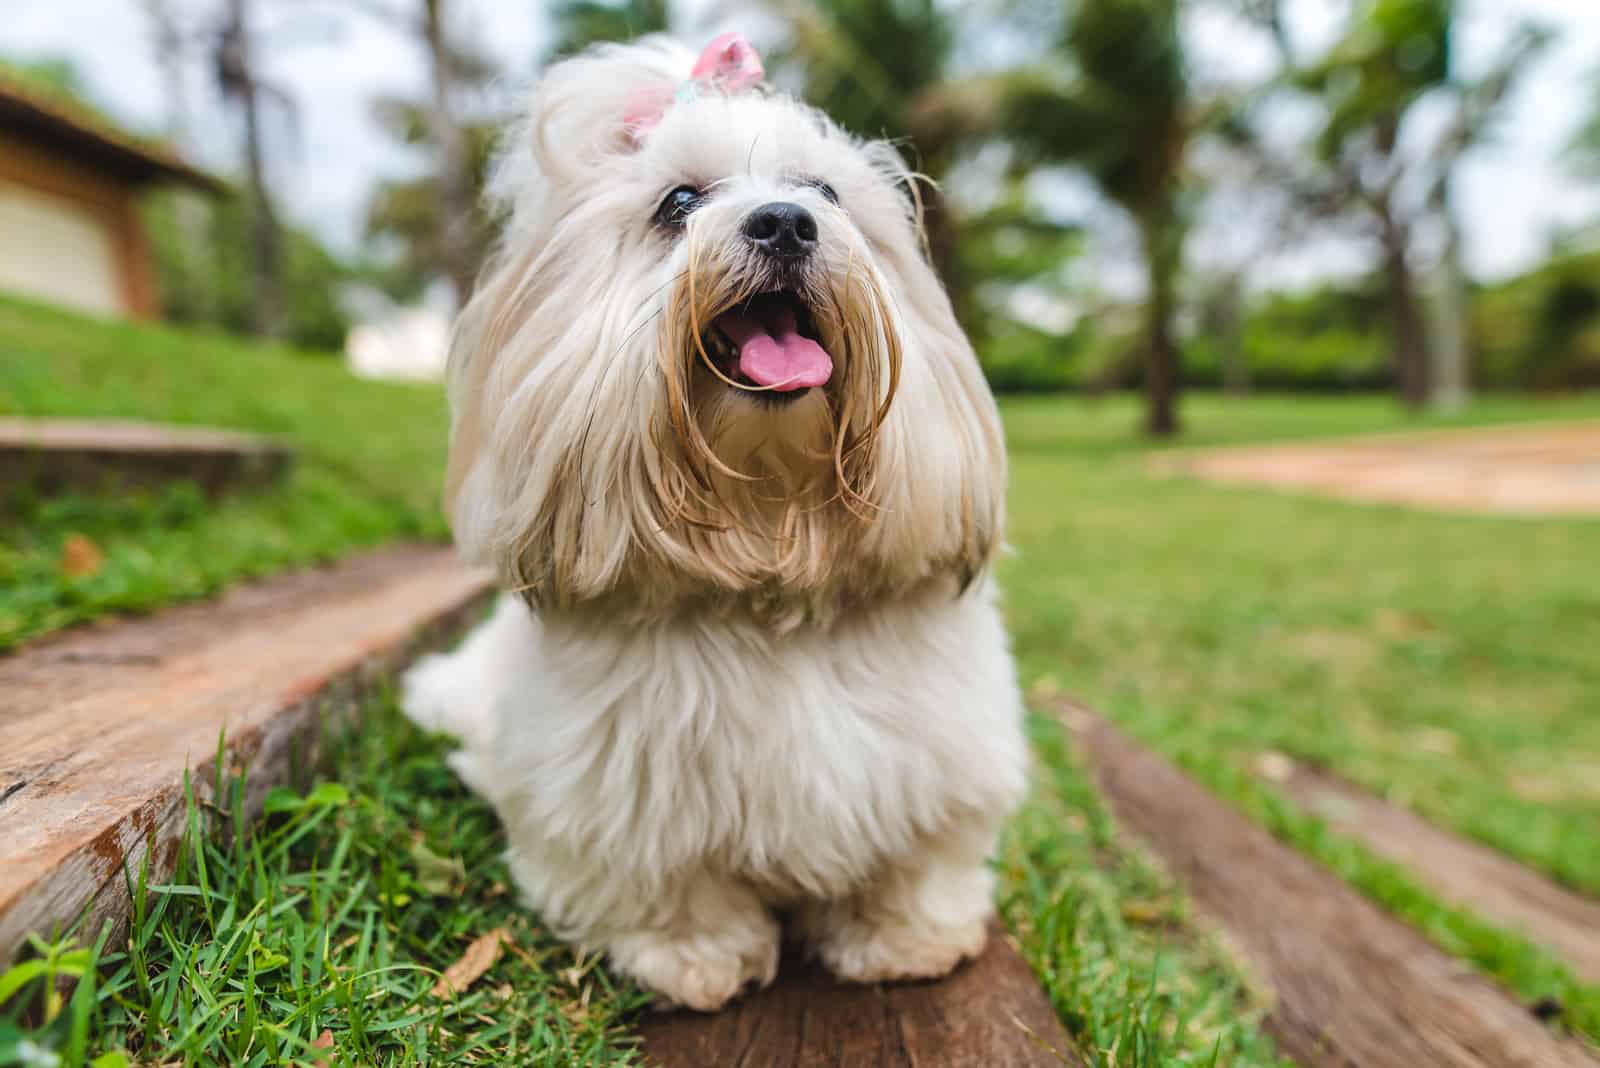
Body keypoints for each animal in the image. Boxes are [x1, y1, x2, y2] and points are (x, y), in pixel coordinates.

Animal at [400, 33, 1024, 1016]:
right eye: (679, 204)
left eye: (825, 194)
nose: (784, 223)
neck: (769, 545)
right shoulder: (621, 796)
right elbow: (664, 885)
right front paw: (693, 958)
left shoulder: (933, 760)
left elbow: (914, 862)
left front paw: (904, 940)